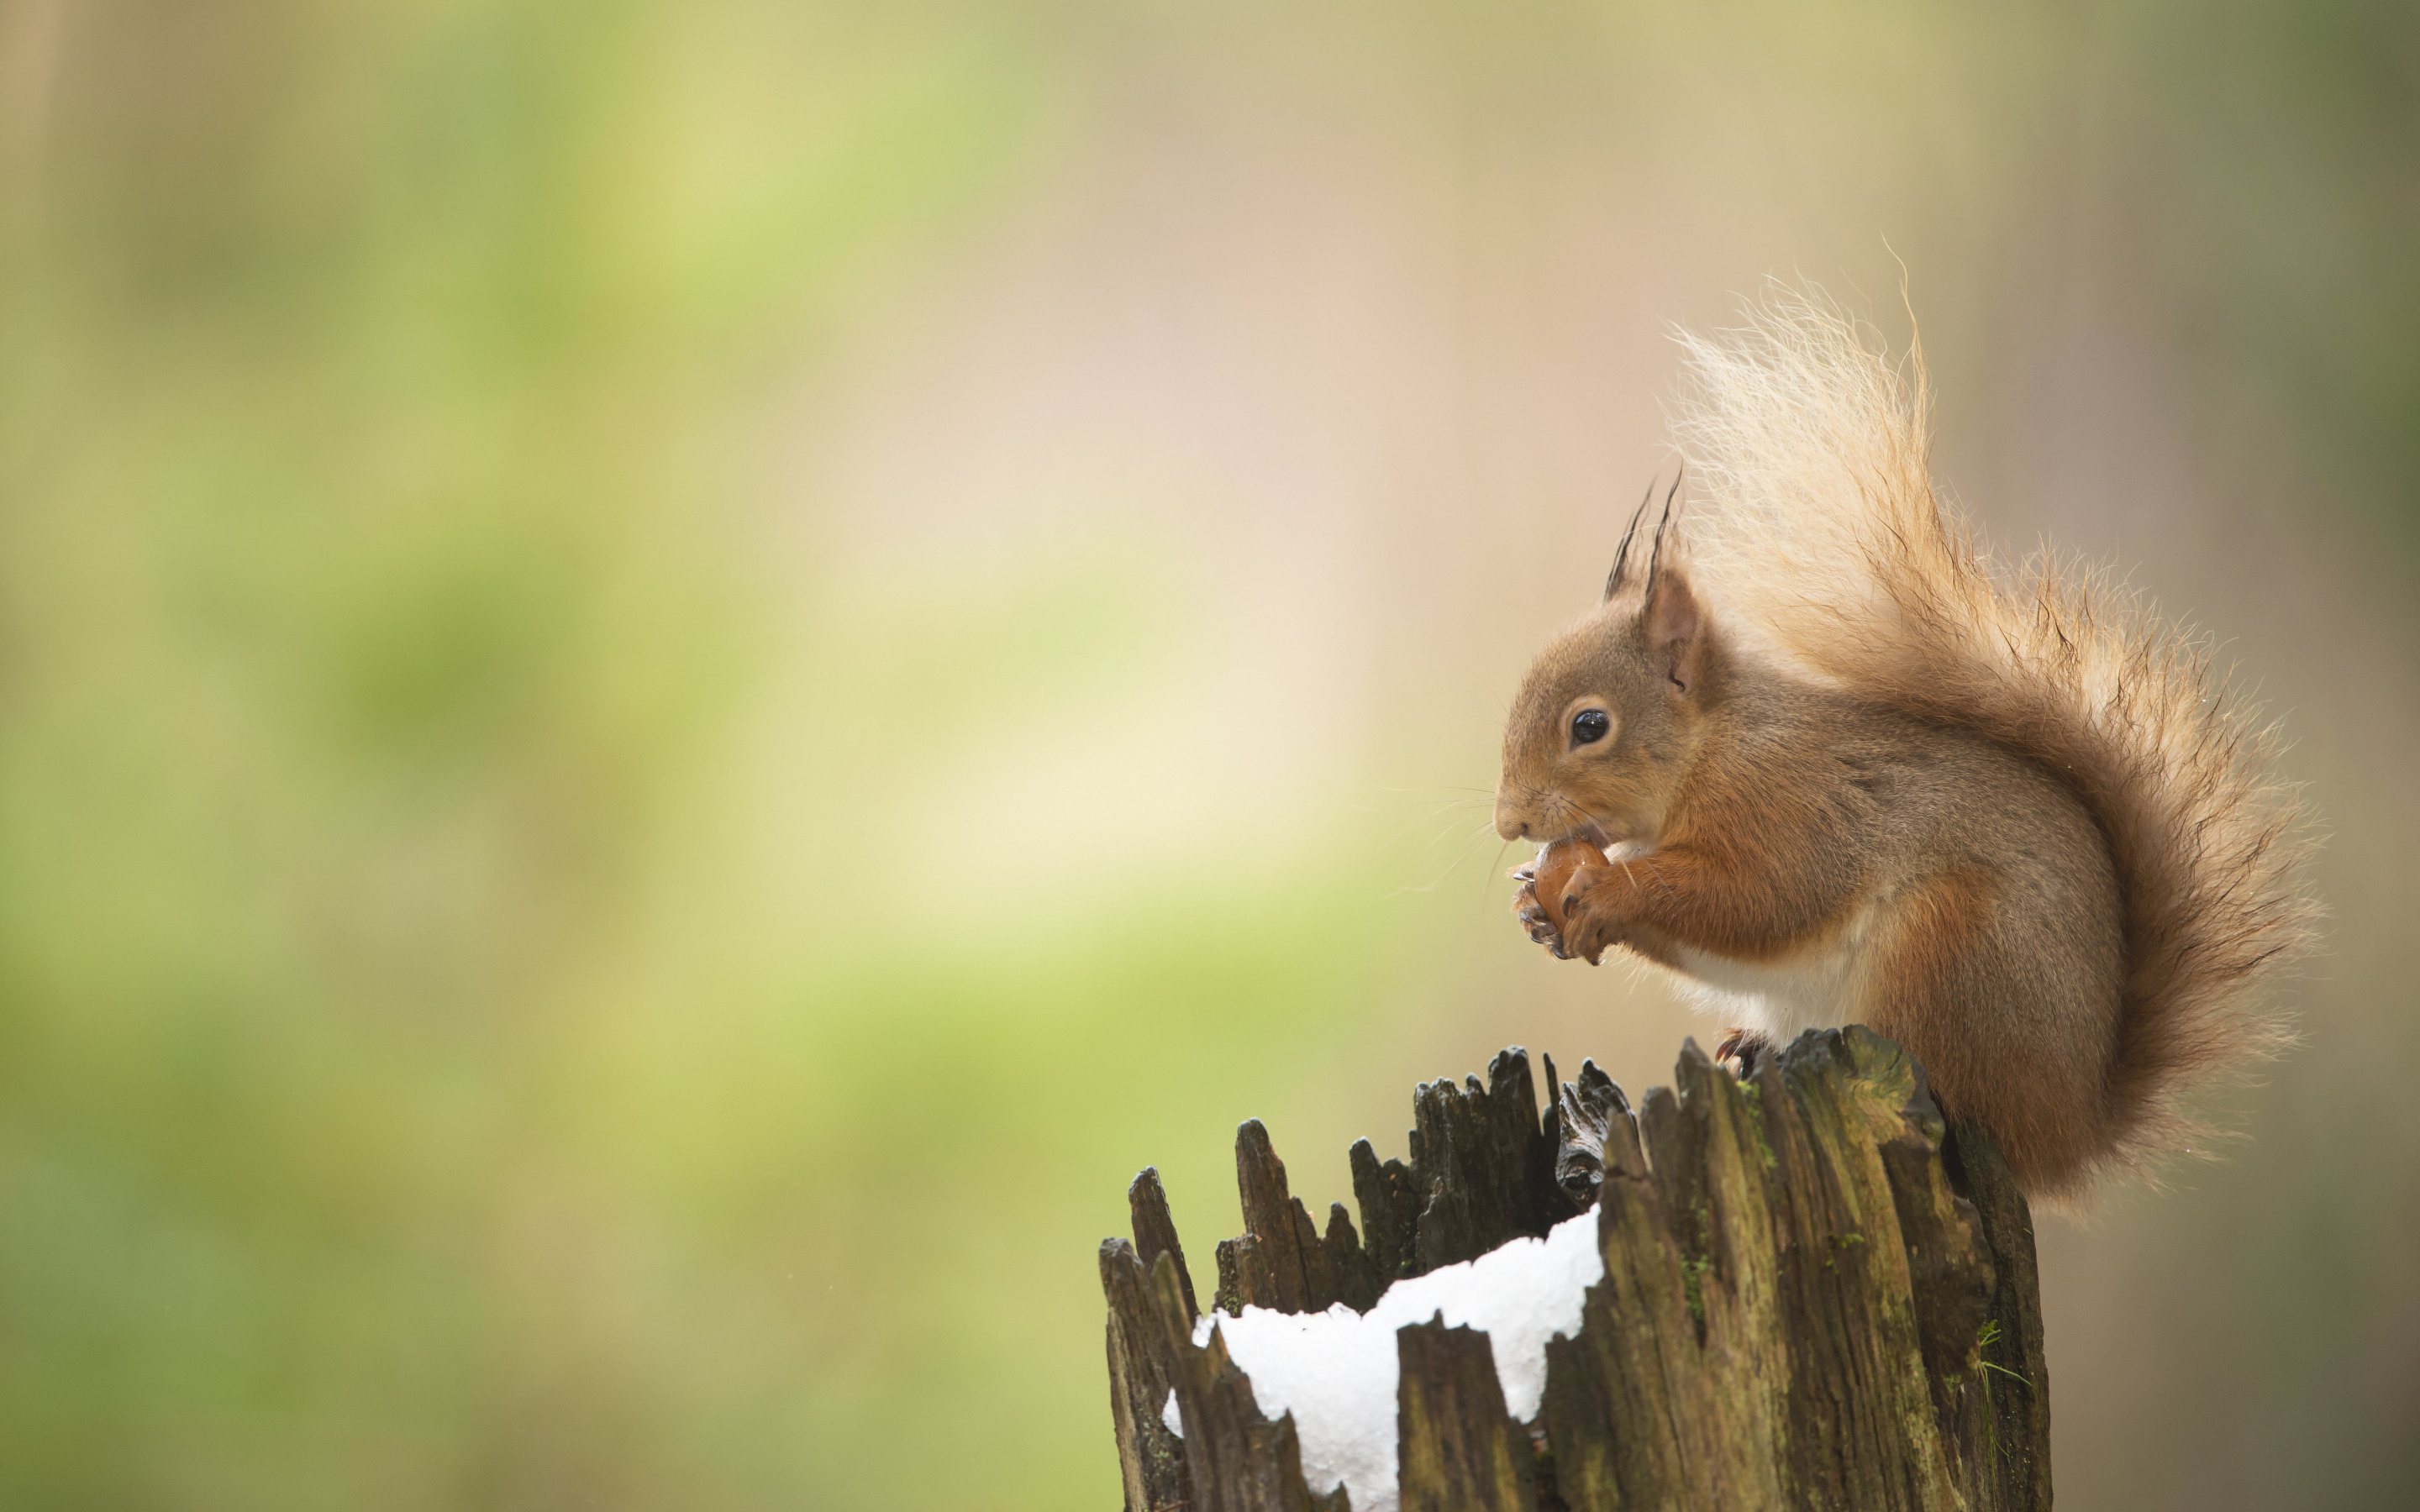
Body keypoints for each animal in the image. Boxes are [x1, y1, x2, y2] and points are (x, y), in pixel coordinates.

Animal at [1500, 289, 2313, 1194]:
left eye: (1589, 726)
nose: (1508, 822)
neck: (1716, 747)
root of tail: (2071, 1131)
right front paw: (1536, 904)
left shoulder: (1795, 808)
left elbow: (1760, 900)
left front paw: (1606, 888)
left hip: (1949, 952)